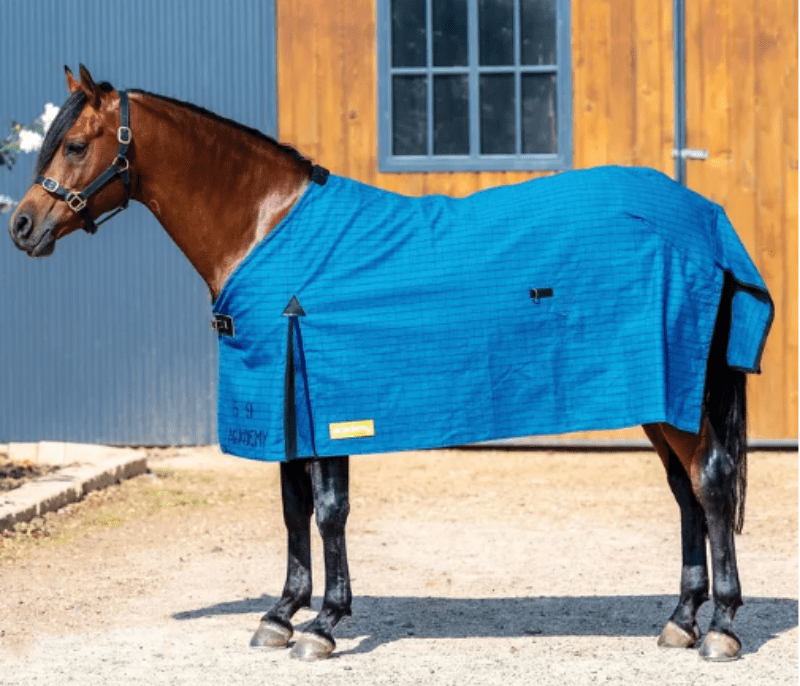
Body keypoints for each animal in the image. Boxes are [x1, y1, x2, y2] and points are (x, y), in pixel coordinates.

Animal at [9, 65, 772, 662]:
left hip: (680, 396)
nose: (21, 227)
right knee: (685, 493)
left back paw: (721, 628)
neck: (267, 230)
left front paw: (323, 624)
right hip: (662, 398)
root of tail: (705, 219)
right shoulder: (288, 408)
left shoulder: (324, 400)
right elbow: (293, 511)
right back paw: (679, 621)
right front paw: (281, 616)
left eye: (75, 144)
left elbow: (327, 512)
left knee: (709, 484)